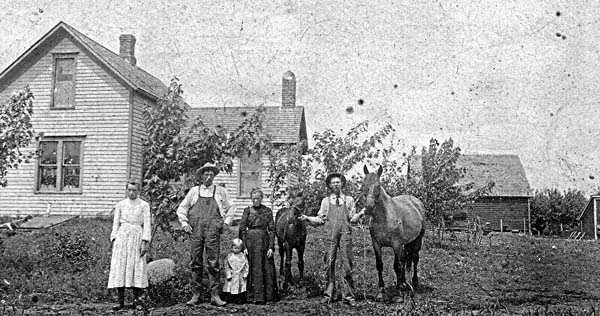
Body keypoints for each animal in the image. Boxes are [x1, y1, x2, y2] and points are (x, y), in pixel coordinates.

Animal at [360, 164, 426, 302]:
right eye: (363, 185)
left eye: (378, 186)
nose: (369, 207)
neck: (384, 218)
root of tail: (416, 201)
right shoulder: (376, 244)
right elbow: (380, 265)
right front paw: (381, 292)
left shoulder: (396, 244)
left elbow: (396, 266)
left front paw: (398, 294)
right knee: (405, 259)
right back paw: (403, 283)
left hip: (417, 240)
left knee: (414, 258)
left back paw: (414, 282)